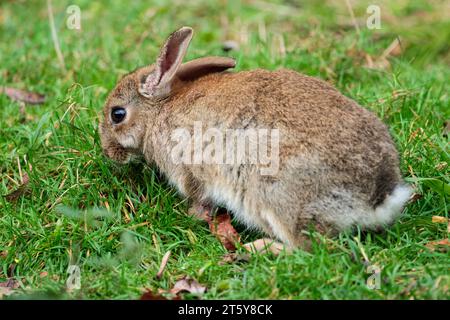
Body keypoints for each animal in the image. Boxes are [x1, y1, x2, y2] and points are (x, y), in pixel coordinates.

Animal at [100, 26, 414, 252]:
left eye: (117, 114)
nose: (108, 153)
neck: (159, 111)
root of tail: (378, 195)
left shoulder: (190, 171)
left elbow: (199, 199)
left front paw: (192, 216)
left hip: (277, 197)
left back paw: (259, 248)